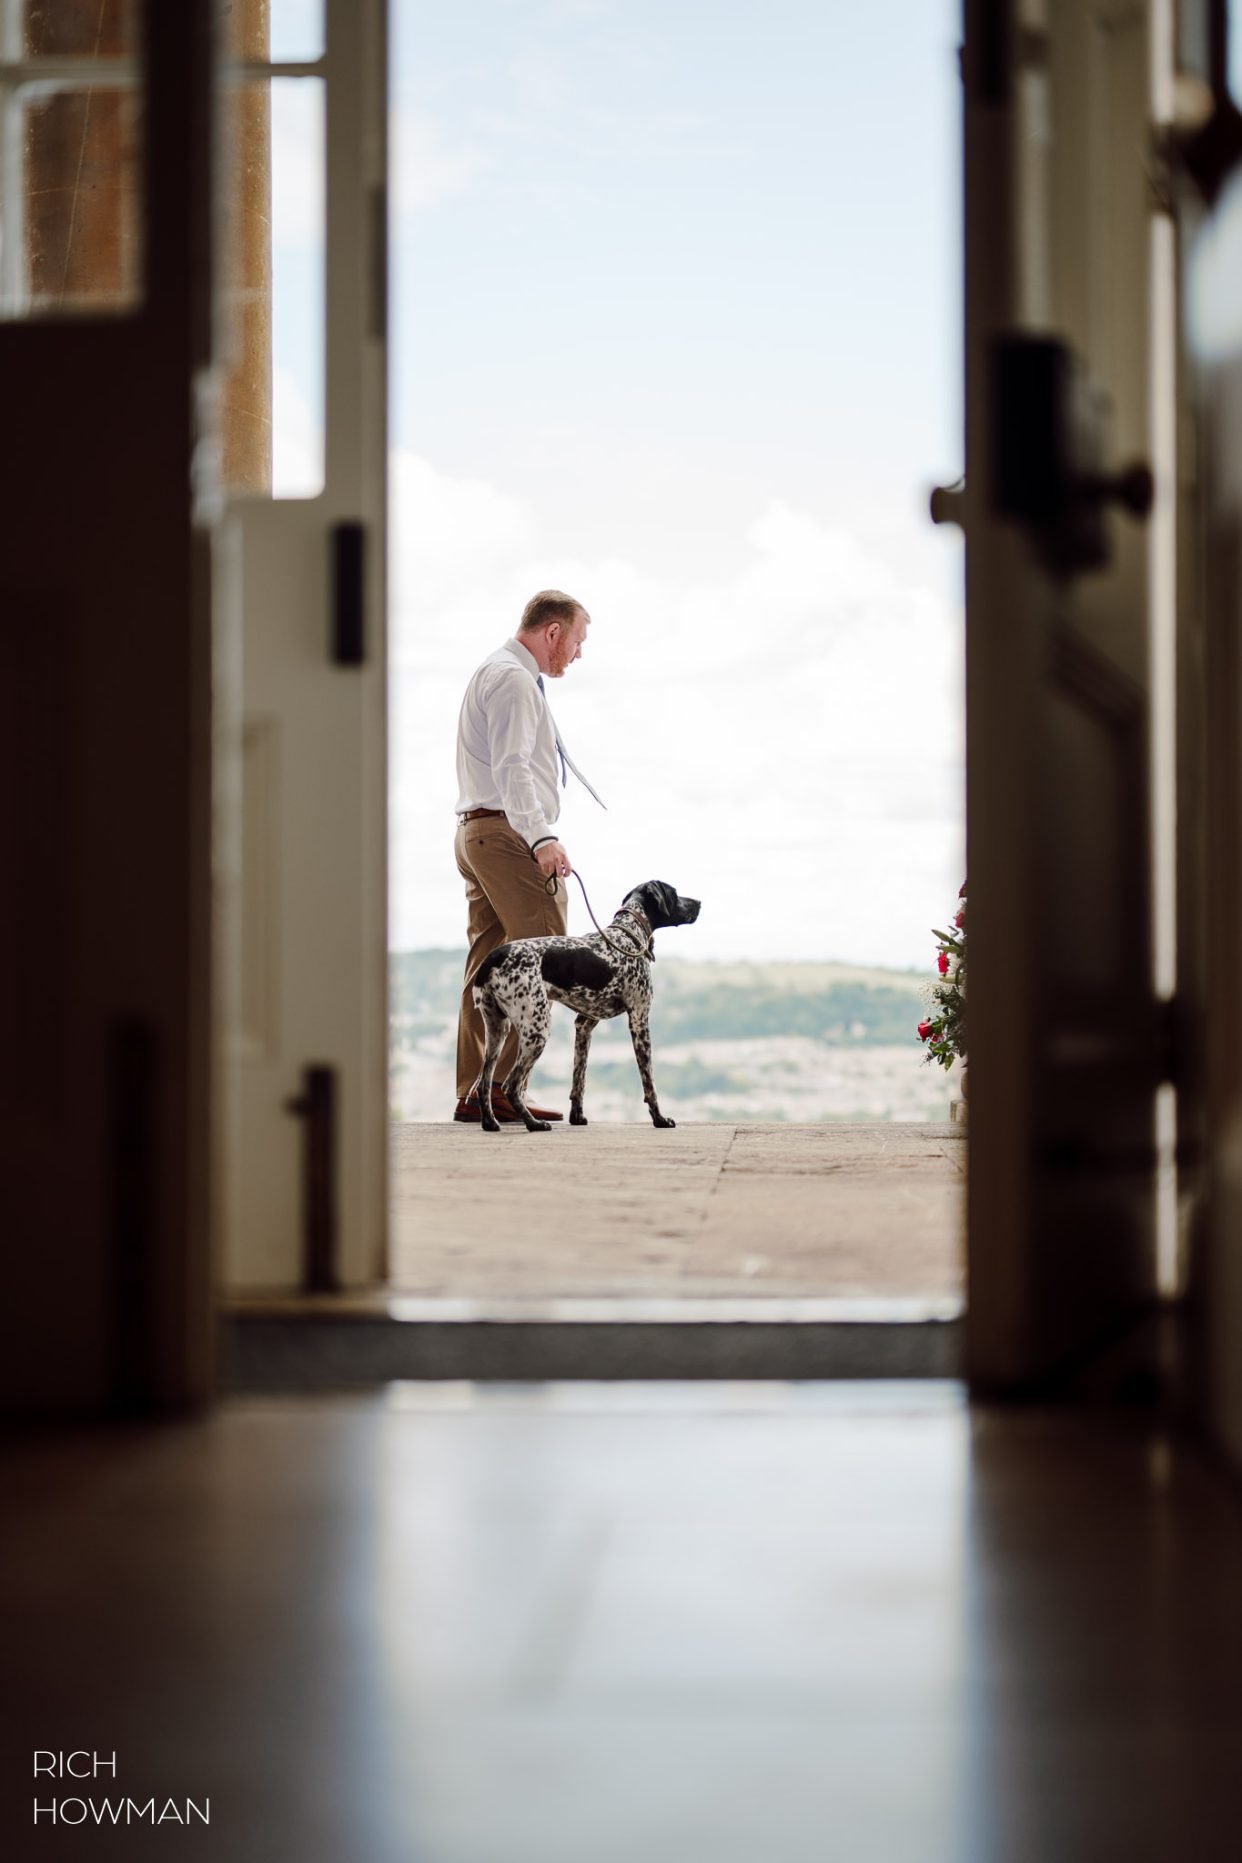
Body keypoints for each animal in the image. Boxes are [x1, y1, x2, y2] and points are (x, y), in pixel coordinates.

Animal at [469, 875, 700, 1125]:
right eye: (674, 893)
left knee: (483, 1083)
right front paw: (660, 1119)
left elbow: (579, 1079)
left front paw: (577, 1116)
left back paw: (490, 1123)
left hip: (496, 1031)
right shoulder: (639, 1020)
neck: (629, 934)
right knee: (511, 1085)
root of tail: (494, 956)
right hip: (537, 1030)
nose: (699, 903)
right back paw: (534, 1124)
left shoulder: (584, 1025)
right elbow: (649, 1083)